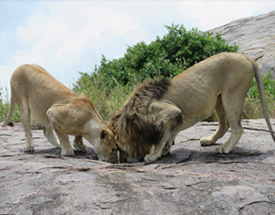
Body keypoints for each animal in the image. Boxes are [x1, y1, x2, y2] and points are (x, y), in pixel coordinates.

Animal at [110, 52, 275, 163]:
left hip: (233, 94)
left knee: (237, 128)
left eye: (120, 147)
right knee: (224, 125)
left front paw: (153, 155)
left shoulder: (171, 112)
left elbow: (161, 138)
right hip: (219, 99)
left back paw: (225, 148)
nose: (123, 161)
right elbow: (169, 134)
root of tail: (245, 57)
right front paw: (165, 150)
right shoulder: (174, 117)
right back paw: (209, 140)